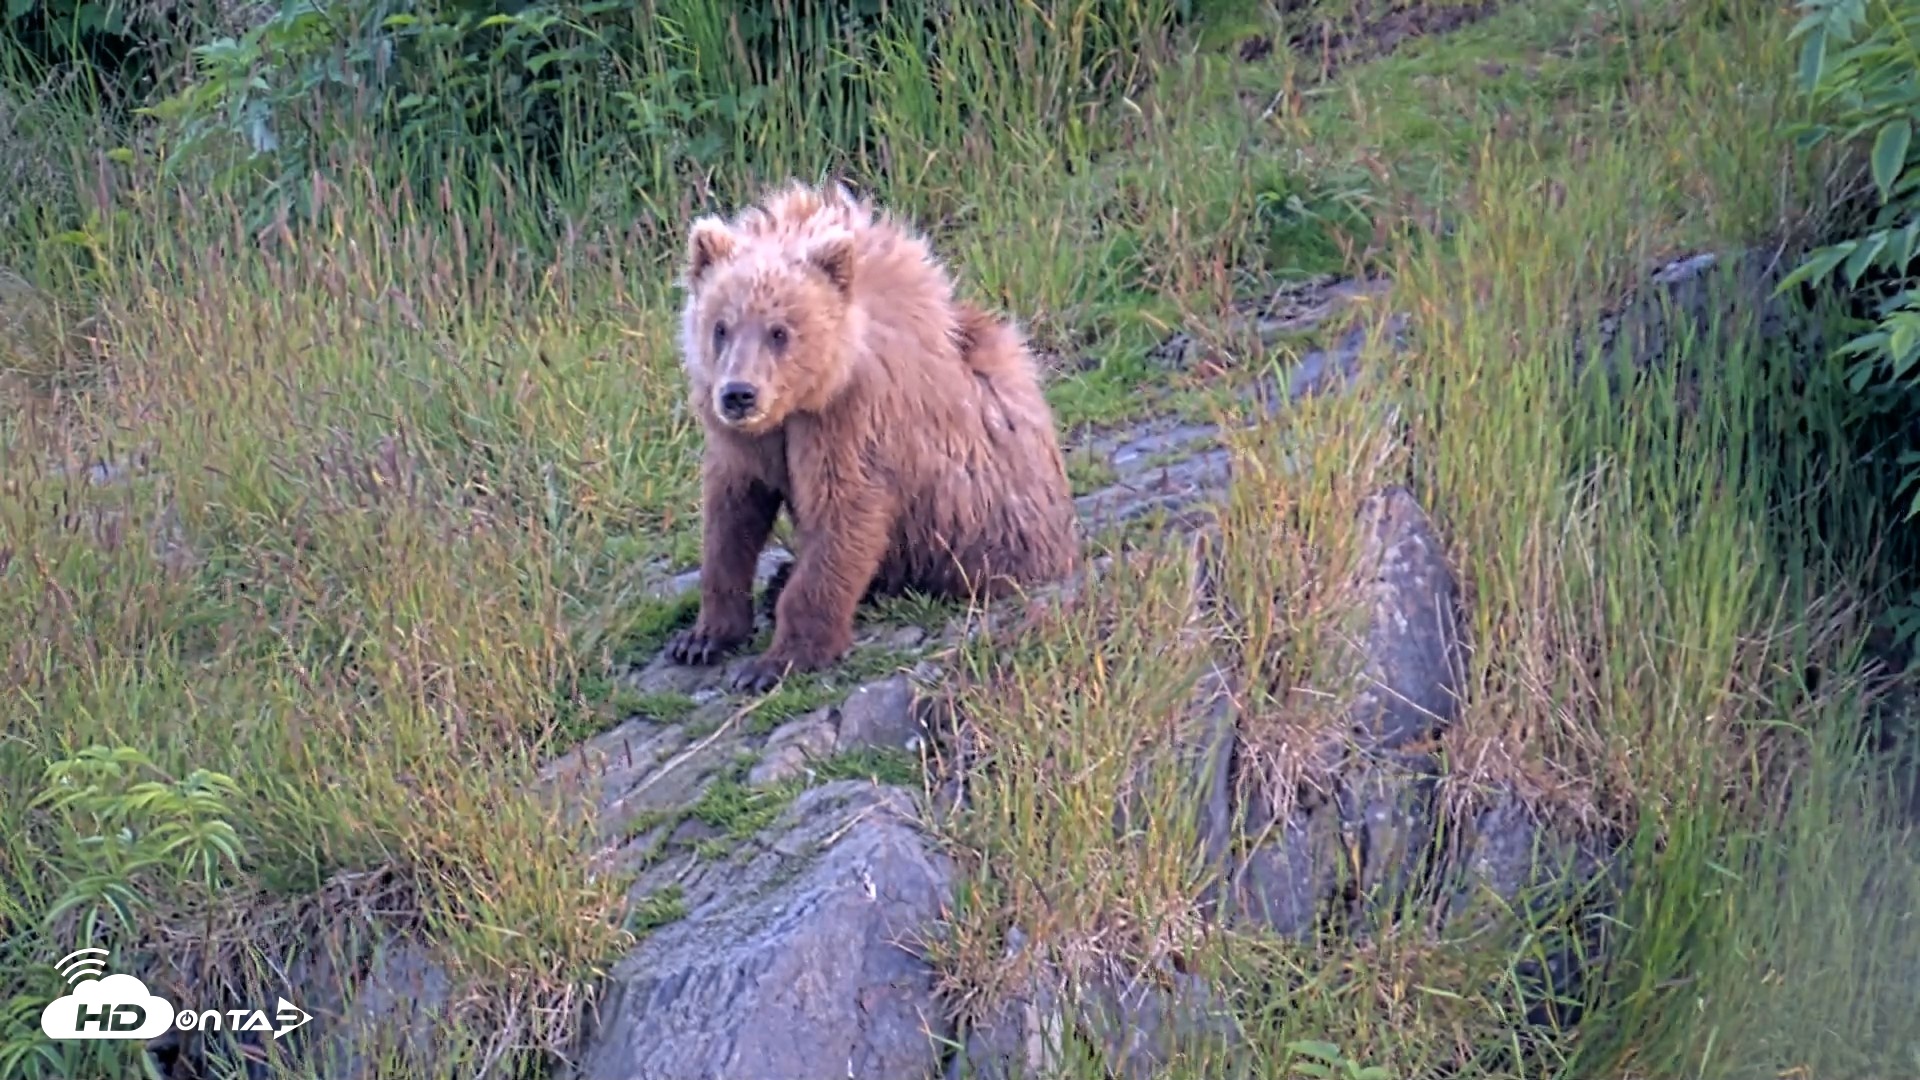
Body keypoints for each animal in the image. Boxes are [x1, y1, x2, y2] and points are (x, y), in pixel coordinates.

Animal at [663, 180, 1080, 692]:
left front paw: (777, 660)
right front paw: (701, 637)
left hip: (986, 537)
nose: (739, 394)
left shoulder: (852, 420)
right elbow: (731, 515)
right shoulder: (745, 441)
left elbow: (844, 515)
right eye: (720, 326)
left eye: (779, 331)